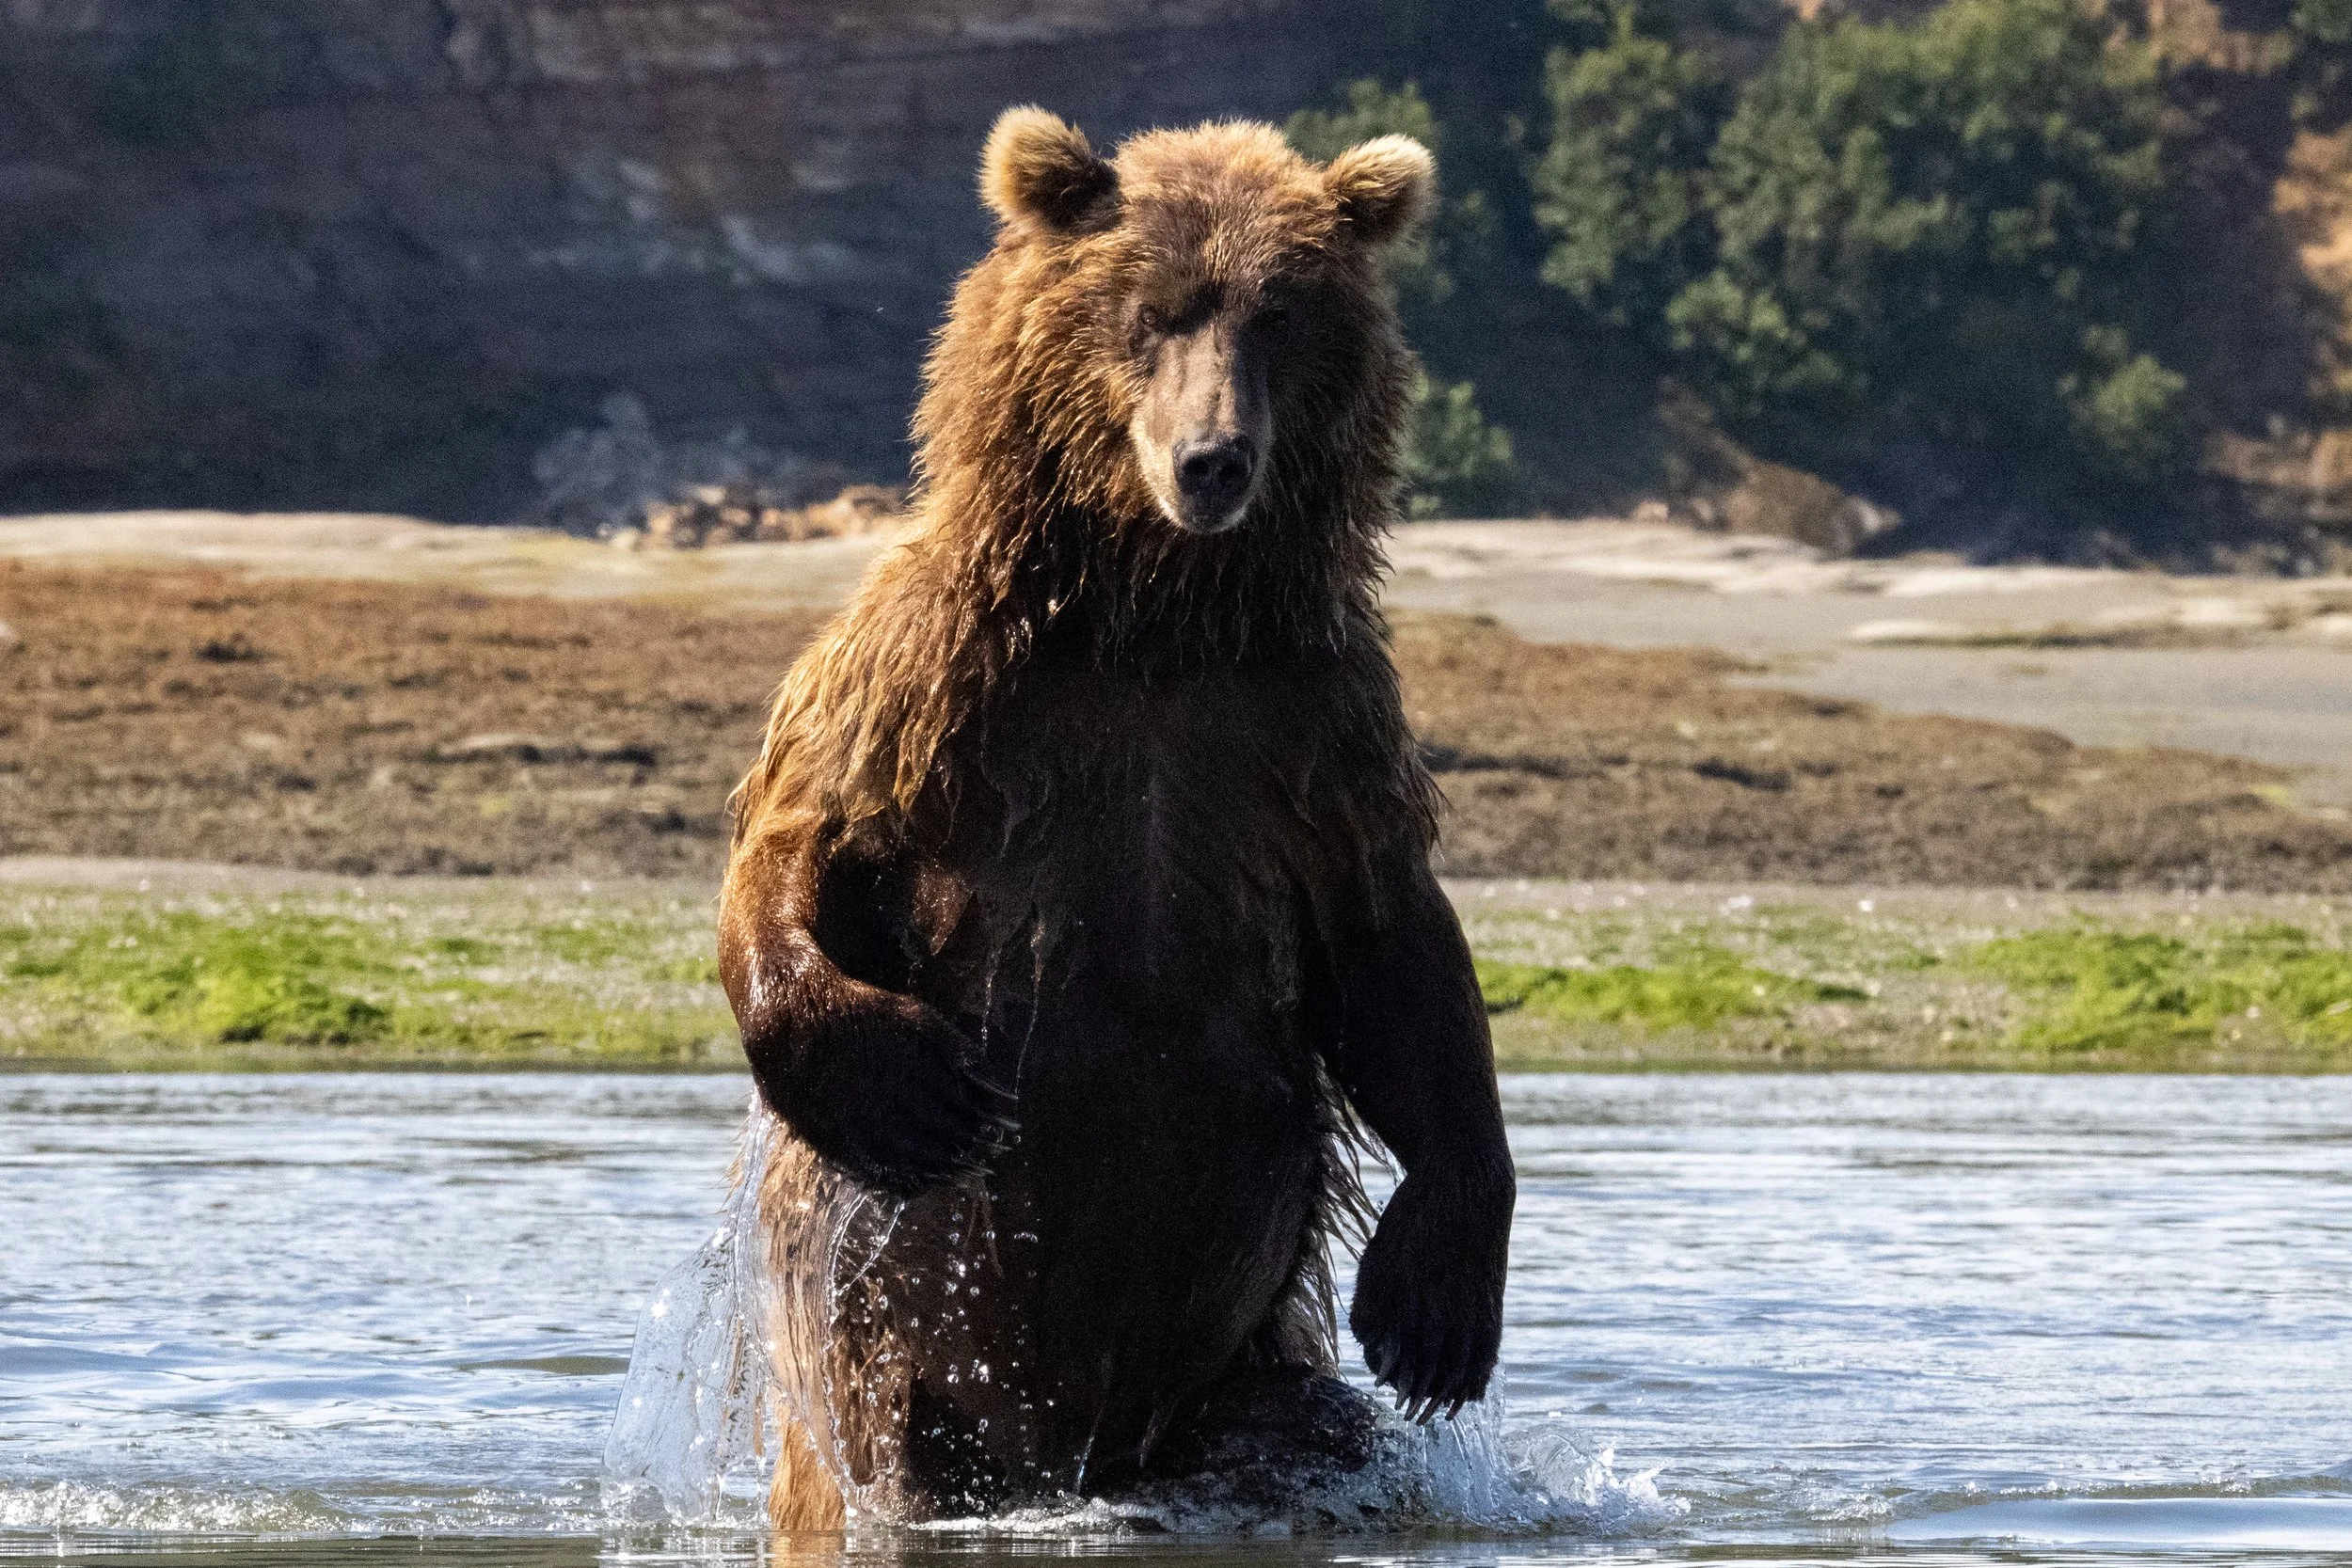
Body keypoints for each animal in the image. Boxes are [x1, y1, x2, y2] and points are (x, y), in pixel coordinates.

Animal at [718, 107, 1515, 1527]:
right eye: (1154, 309)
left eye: (1279, 316)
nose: (1214, 458)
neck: (1151, 619)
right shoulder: (933, 682)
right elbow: (805, 844)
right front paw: (902, 1083)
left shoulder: (1308, 727)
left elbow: (1392, 947)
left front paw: (1436, 1299)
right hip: (898, 1350)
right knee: (893, 1454)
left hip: (1235, 1369)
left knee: (1310, 1432)